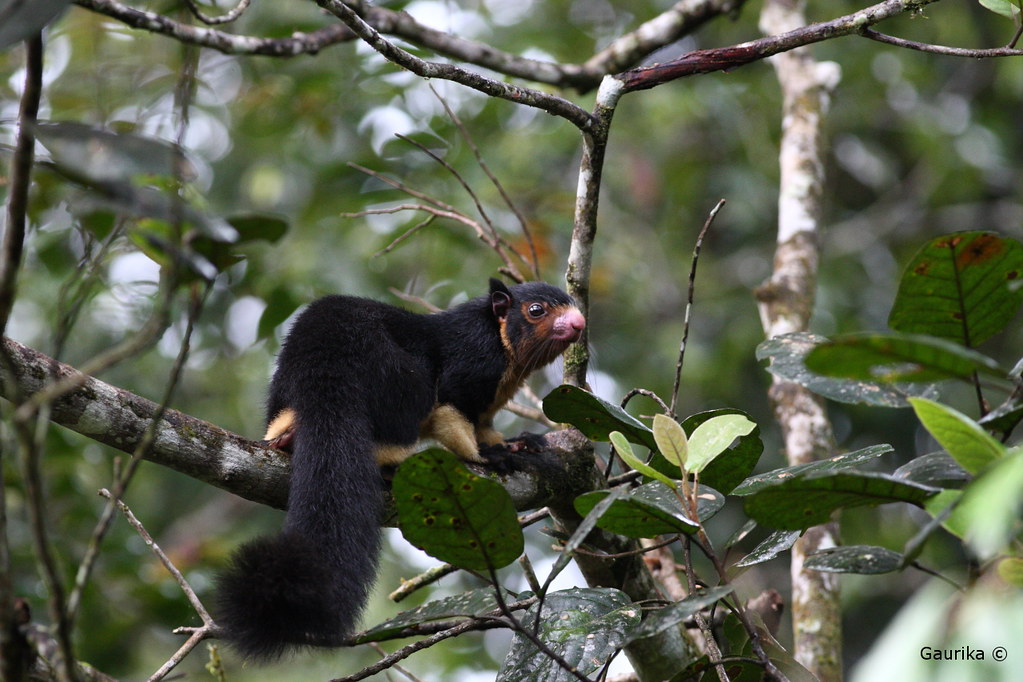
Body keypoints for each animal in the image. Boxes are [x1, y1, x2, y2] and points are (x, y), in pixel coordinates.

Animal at [215, 278, 585, 660]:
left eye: (573, 305)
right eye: (536, 310)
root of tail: (323, 362)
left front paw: (517, 443)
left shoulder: (486, 406)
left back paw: (287, 439)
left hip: (286, 391)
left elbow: (484, 427)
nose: (579, 324)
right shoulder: (473, 361)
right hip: (399, 376)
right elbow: (453, 411)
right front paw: (491, 457)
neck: (508, 355)